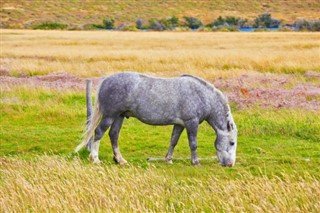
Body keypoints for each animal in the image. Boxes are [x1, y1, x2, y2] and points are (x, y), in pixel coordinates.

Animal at [74, 72, 236, 167]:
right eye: (232, 142)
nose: (230, 164)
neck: (202, 96)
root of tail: (106, 79)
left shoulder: (180, 124)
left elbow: (173, 141)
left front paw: (168, 159)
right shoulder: (192, 123)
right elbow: (193, 144)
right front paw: (195, 162)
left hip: (119, 116)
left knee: (113, 135)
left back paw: (120, 160)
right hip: (110, 115)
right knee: (99, 132)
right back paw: (95, 158)